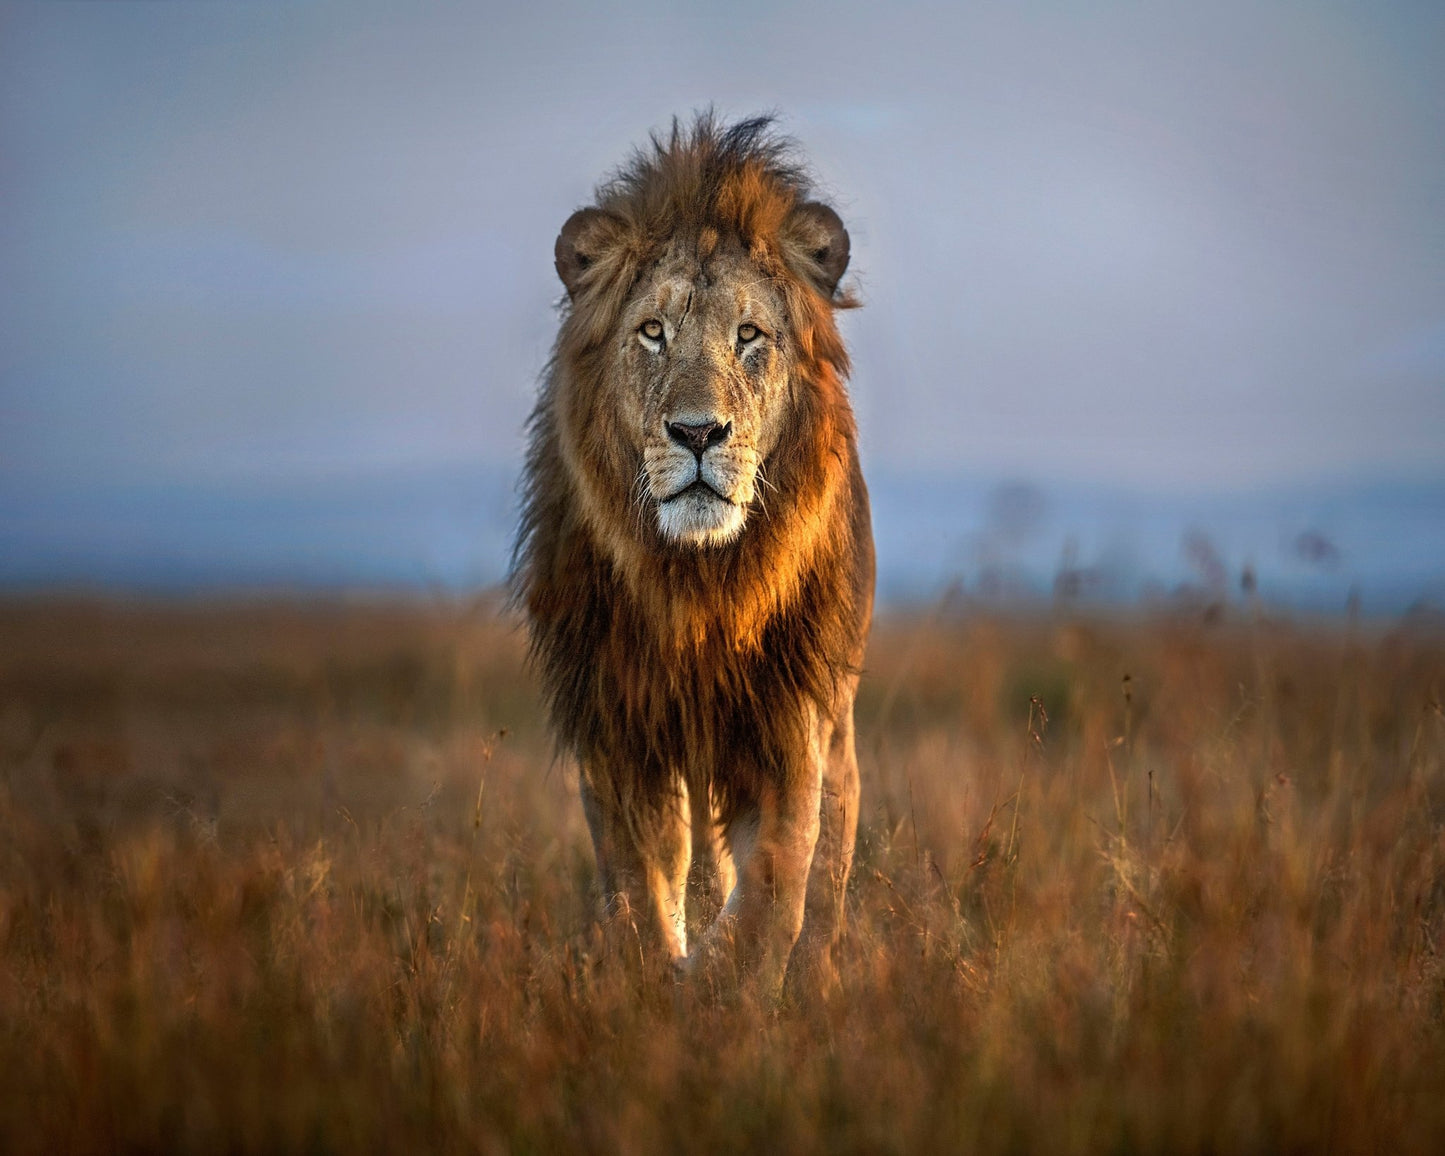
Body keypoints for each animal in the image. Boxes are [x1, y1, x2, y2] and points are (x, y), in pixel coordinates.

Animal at [513, 113, 874, 995]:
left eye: (749, 335)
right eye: (653, 332)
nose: (698, 433)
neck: (699, 582)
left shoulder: (789, 718)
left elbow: (777, 879)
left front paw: (723, 983)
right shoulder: (616, 722)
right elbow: (642, 882)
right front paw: (657, 978)